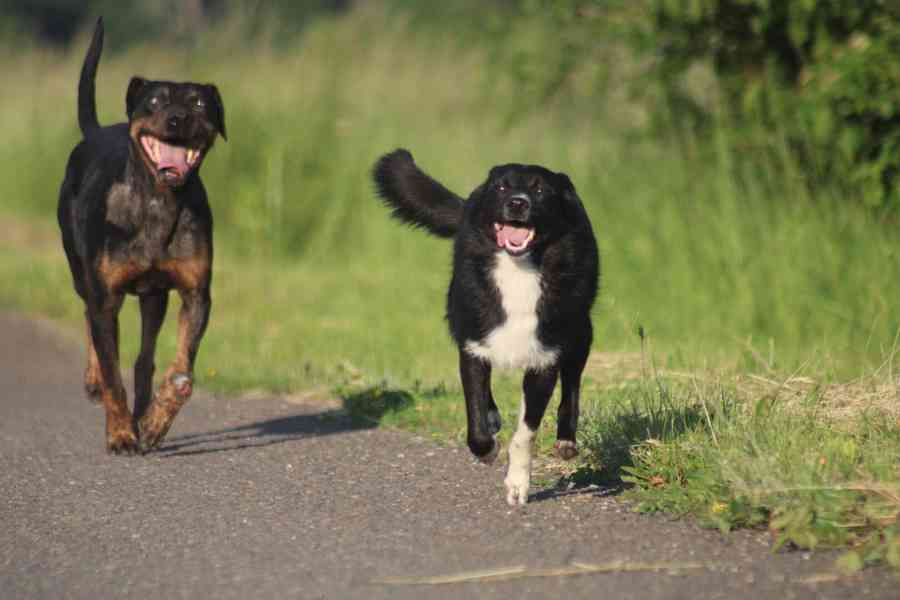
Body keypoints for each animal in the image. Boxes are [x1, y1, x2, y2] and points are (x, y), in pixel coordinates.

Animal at [58, 16, 227, 452]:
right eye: (154, 102)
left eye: (198, 104)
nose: (177, 118)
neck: (158, 202)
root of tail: (95, 132)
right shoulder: (105, 293)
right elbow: (111, 370)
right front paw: (120, 434)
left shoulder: (195, 293)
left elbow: (182, 373)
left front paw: (152, 424)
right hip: (82, 270)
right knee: (89, 315)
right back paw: (94, 383)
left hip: (154, 297)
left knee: (144, 356)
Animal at [372, 150, 596, 506]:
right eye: (502, 187)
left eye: (540, 189)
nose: (517, 203)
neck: (519, 269)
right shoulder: (473, 348)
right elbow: (476, 417)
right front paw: (487, 447)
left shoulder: (543, 360)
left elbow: (525, 433)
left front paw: (517, 484)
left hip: (580, 333)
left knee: (571, 383)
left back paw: (566, 441)